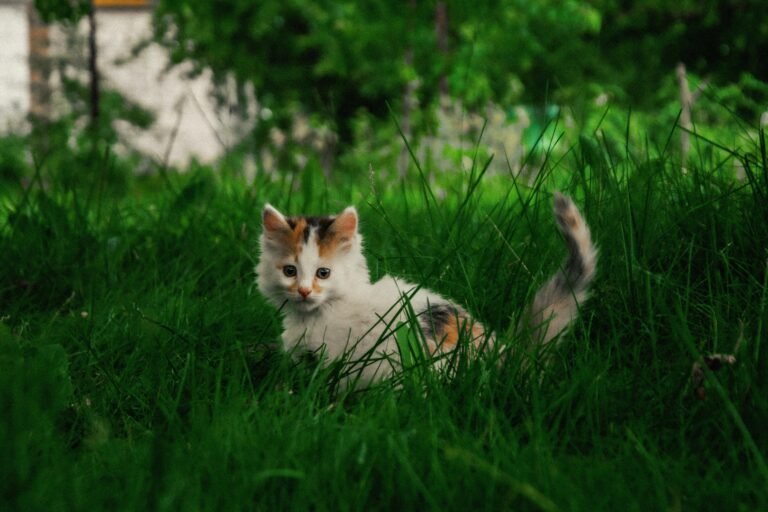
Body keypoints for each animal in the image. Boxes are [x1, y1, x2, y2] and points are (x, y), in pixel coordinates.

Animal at [255, 193, 596, 384]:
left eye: (323, 273)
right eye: (290, 271)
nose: (304, 291)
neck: (316, 316)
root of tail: (502, 354)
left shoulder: (338, 357)